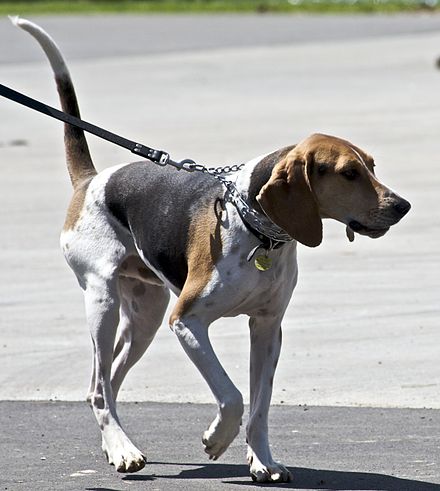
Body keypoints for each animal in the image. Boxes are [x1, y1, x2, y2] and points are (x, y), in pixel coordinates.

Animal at [13, 17, 410, 482]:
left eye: (372, 166)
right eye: (349, 173)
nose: (402, 206)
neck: (260, 232)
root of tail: (92, 179)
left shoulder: (267, 327)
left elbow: (259, 407)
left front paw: (263, 461)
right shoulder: (187, 321)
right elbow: (233, 396)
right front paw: (216, 439)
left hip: (144, 316)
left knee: (107, 380)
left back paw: (116, 445)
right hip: (104, 301)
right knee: (99, 386)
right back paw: (123, 450)